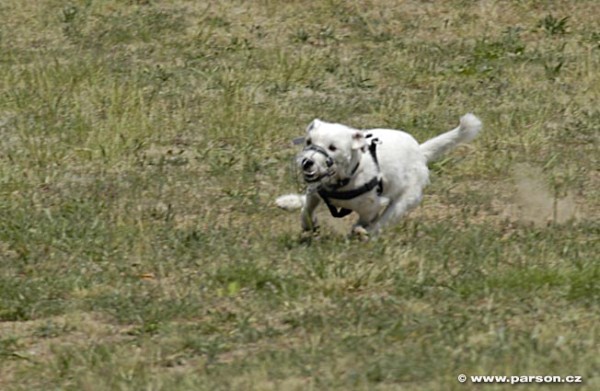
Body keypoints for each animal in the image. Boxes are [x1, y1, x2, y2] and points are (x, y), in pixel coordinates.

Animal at [276, 113, 482, 236]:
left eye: (332, 148)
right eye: (308, 141)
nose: (307, 162)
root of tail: (420, 152)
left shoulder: (371, 206)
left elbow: (367, 219)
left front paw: (359, 230)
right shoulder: (316, 190)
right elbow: (308, 207)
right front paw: (308, 223)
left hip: (405, 200)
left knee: (384, 221)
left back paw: (366, 233)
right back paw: (289, 201)